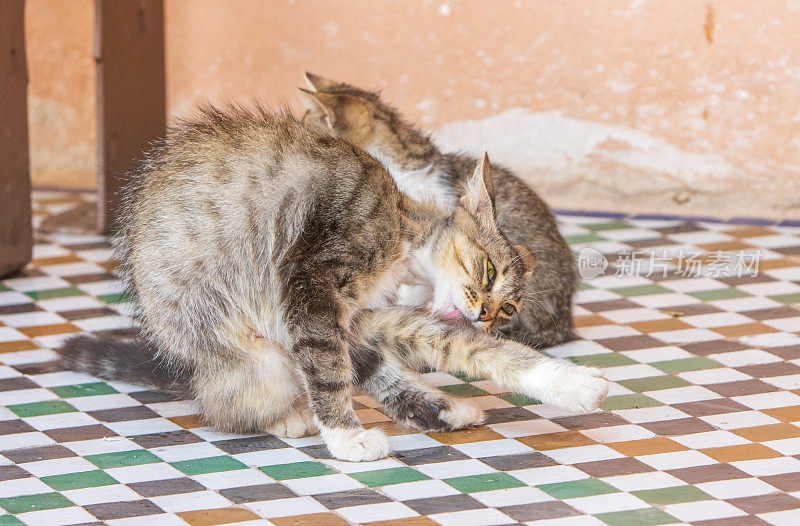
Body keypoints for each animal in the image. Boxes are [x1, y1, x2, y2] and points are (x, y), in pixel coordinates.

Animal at [56, 104, 608, 462]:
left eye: (510, 310)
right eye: (488, 272)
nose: (487, 314)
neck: (405, 238)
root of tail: (189, 370)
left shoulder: (356, 314)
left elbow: (459, 347)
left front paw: (569, 383)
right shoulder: (307, 284)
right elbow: (328, 372)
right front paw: (346, 438)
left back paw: (444, 409)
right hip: (250, 352)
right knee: (228, 406)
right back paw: (289, 417)